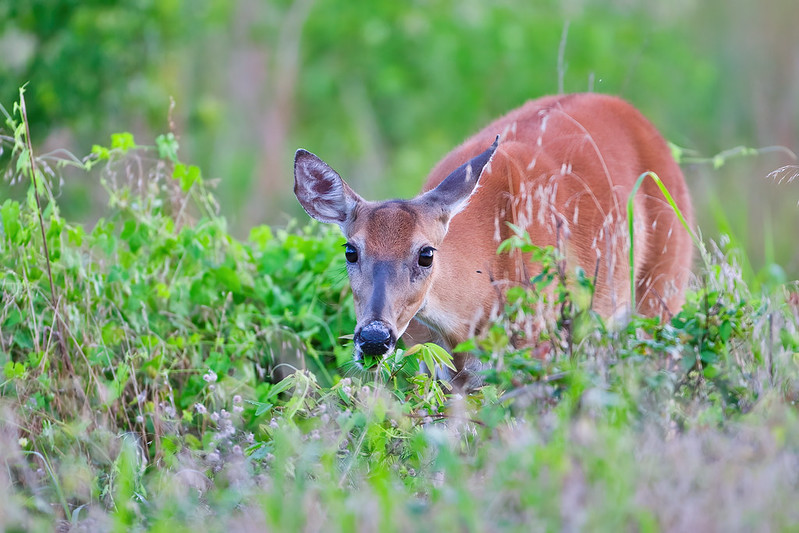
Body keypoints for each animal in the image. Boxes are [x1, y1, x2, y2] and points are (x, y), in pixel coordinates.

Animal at [294, 92, 692, 386]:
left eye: (426, 253)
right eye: (350, 250)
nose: (374, 338)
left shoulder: (537, 343)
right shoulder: (436, 365)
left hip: (662, 293)